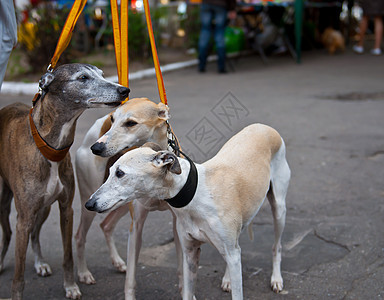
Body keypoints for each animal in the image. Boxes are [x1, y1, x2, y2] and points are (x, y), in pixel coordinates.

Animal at [0, 62, 129, 298]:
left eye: (101, 74)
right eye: (83, 78)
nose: (124, 90)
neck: (48, 147)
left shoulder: (65, 208)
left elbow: (67, 255)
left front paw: (70, 286)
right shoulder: (23, 218)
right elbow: (18, 275)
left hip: (44, 208)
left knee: (35, 234)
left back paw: (40, 263)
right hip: (5, 203)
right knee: (7, 233)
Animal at [74, 98, 184, 298]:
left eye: (131, 123)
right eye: (113, 119)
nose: (96, 148)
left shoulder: (177, 223)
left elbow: (182, 271)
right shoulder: (136, 226)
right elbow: (131, 279)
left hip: (118, 201)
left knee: (106, 224)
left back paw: (117, 262)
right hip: (93, 197)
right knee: (79, 235)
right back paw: (84, 273)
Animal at [85, 123, 290, 298]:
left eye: (120, 173)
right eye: (110, 171)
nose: (89, 204)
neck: (194, 194)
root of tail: (264, 127)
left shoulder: (227, 251)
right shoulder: (190, 251)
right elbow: (188, 289)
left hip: (279, 208)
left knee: (276, 246)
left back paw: (276, 279)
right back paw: (228, 279)